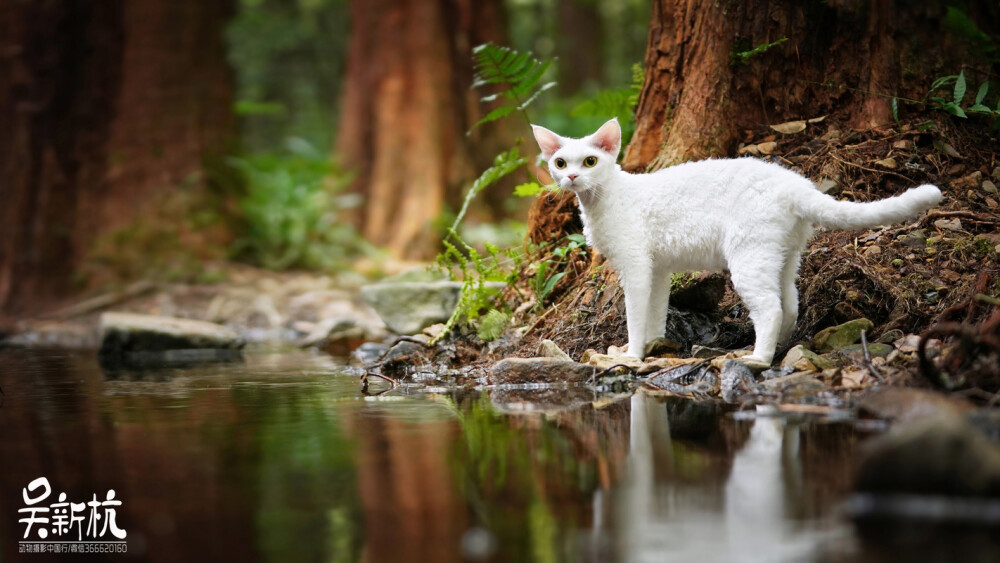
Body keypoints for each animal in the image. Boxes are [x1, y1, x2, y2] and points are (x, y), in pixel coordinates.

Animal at [536, 119, 940, 366]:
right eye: (560, 163)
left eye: (590, 161)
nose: (572, 177)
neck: (602, 199)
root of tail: (796, 185)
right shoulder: (659, 270)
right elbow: (655, 313)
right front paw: (653, 345)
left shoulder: (635, 268)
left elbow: (635, 317)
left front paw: (631, 355)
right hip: (783, 256)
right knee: (790, 304)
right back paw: (780, 349)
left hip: (748, 258)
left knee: (771, 309)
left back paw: (758, 359)